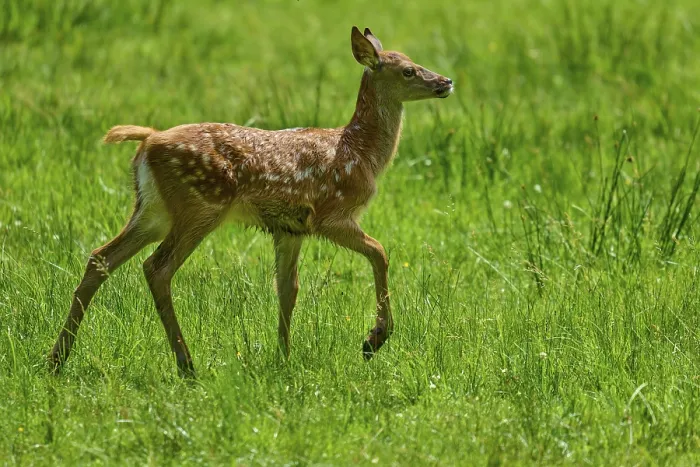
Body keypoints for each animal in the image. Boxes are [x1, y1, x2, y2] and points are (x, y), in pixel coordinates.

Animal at [48, 26, 453, 377]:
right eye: (408, 70)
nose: (446, 82)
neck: (360, 153)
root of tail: (148, 140)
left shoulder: (290, 229)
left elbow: (288, 289)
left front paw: (283, 357)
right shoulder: (330, 214)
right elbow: (380, 252)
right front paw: (374, 339)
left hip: (153, 210)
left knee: (100, 257)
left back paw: (57, 358)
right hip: (200, 206)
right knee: (157, 268)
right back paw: (186, 365)